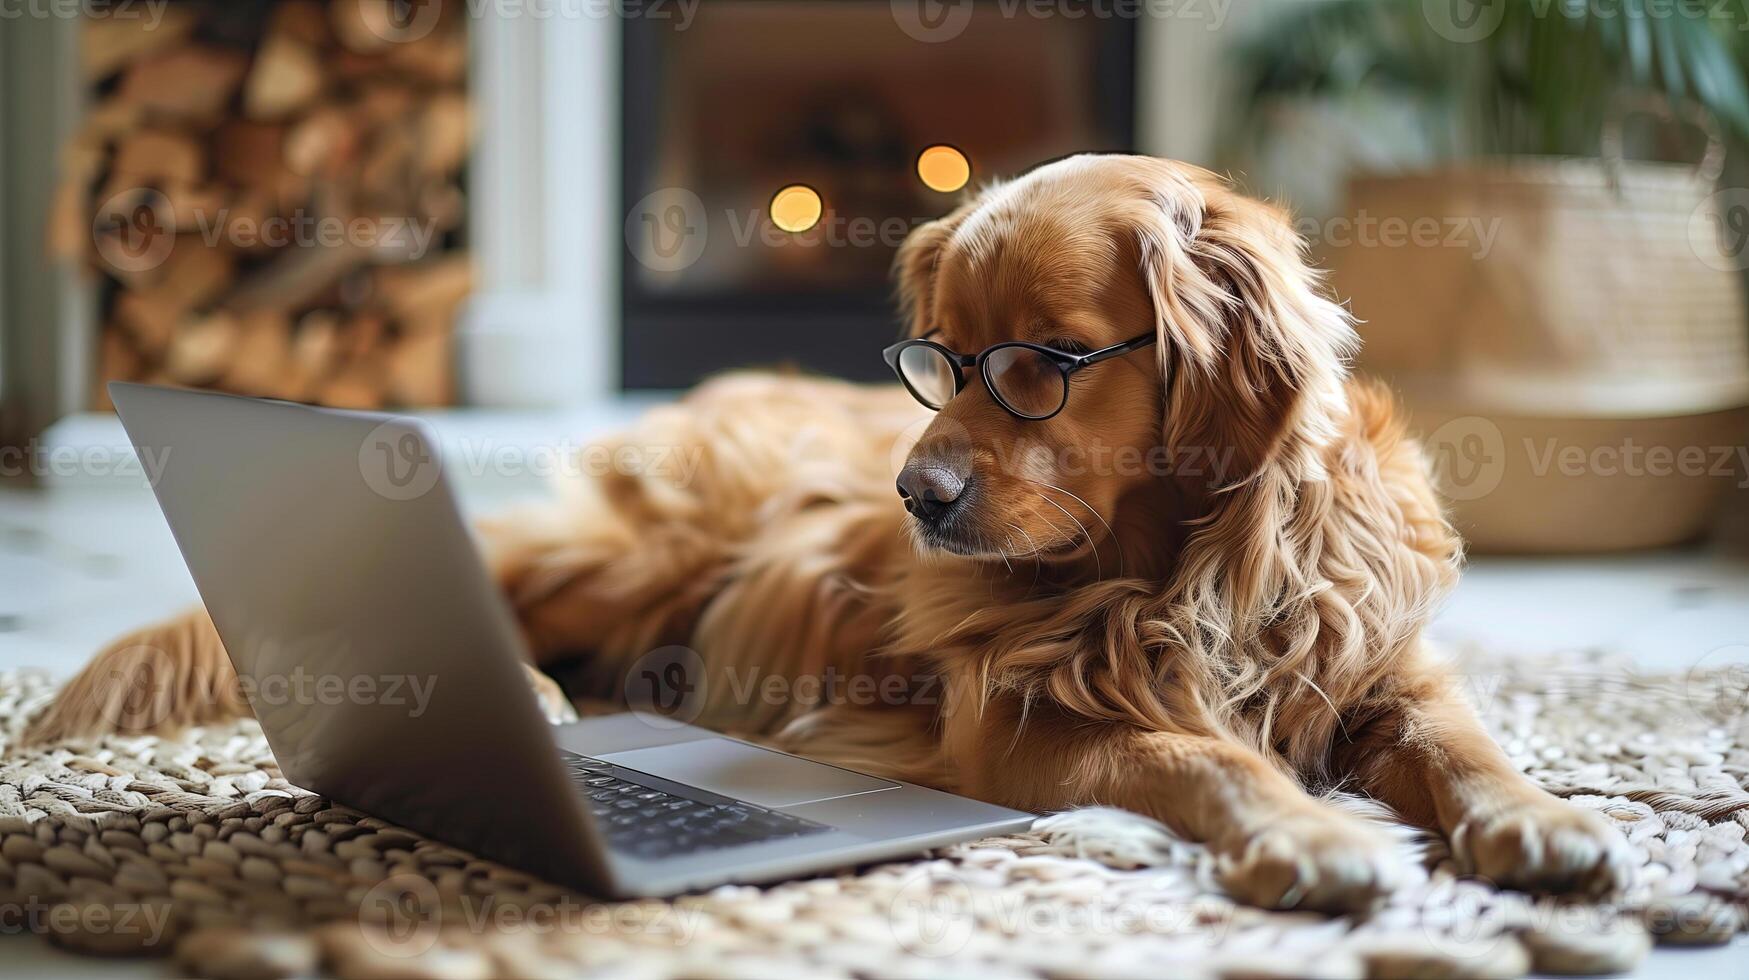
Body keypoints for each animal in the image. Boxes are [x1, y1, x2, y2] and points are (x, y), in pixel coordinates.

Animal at [34, 156, 1630, 917]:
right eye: (938, 355)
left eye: (1040, 362)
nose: (913, 498)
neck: (1177, 565)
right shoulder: (1020, 731)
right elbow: (1205, 754)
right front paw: (1310, 830)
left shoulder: (1382, 670)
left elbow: (1463, 742)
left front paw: (1543, 819)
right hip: (656, 553)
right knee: (510, 597)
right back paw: (529, 694)